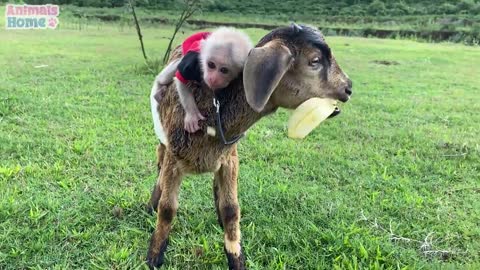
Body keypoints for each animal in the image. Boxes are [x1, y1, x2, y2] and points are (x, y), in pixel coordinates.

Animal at [146, 24, 352, 268]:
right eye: (315, 60)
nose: (348, 88)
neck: (213, 107)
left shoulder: (230, 159)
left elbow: (231, 210)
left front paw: (236, 258)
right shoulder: (174, 157)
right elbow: (168, 209)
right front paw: (154, 256)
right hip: (163, 141)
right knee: (159, 166)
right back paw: (152, 204)